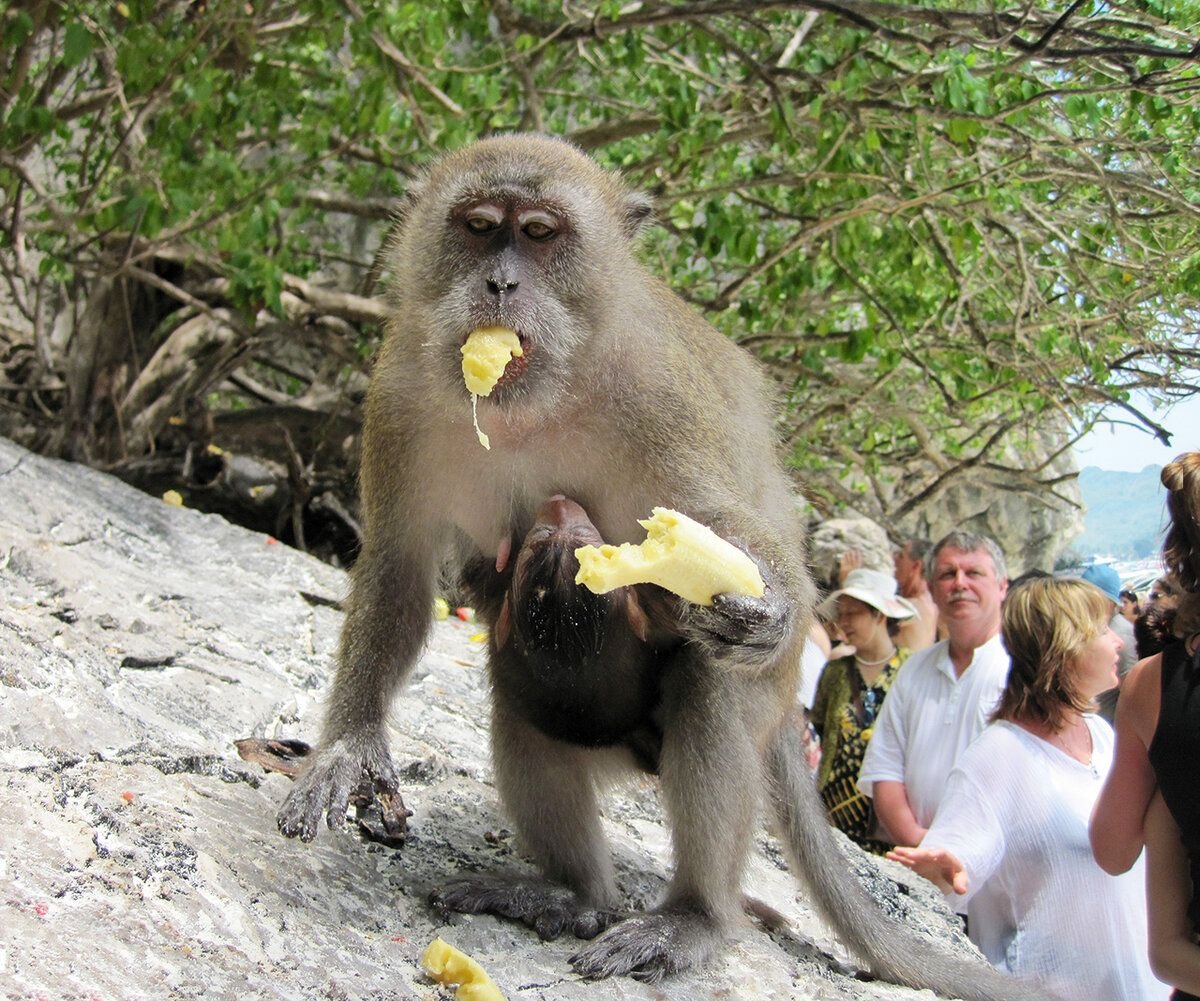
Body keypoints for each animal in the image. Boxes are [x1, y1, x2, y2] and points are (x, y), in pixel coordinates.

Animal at [278, 134, 1051, 998]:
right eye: (478, 227)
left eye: (540, 234)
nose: (501, 282)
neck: (536, 400)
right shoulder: (401, 389)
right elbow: (399, 568)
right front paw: (350, 746)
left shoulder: (656, 394)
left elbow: (724, 522)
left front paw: (771, 604)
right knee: (524, 707)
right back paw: (573, 893)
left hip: (768, 696)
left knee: (713, 687)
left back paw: (697, 915)